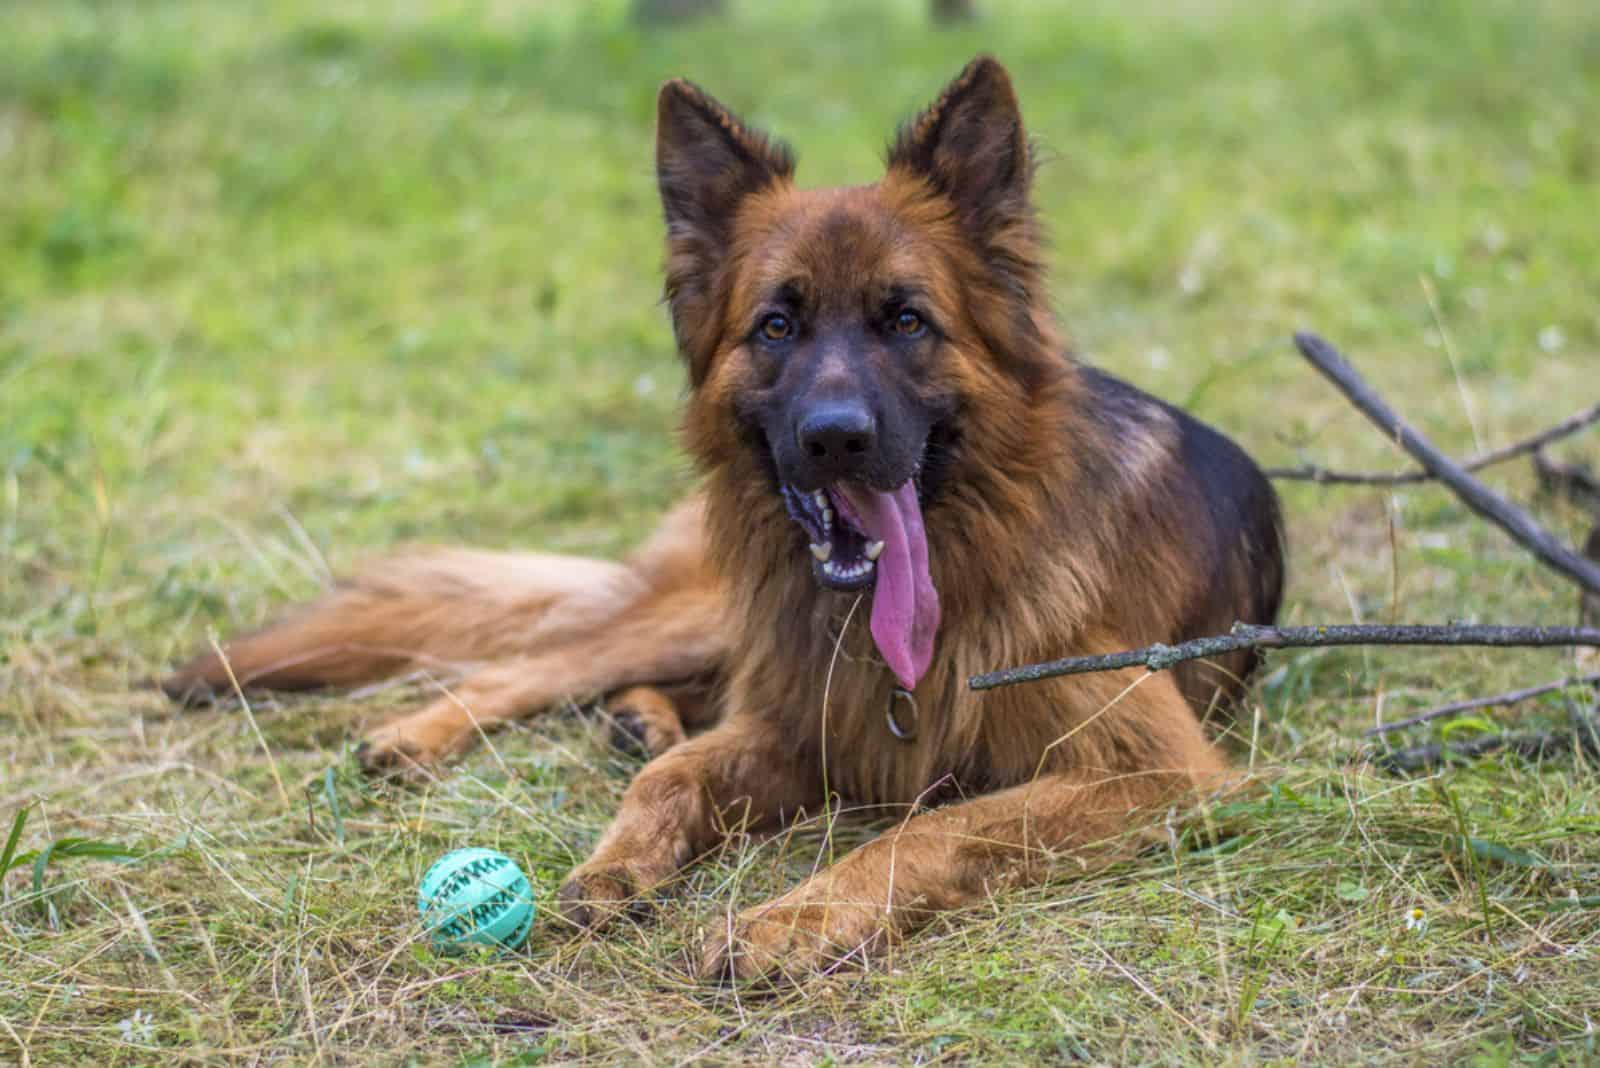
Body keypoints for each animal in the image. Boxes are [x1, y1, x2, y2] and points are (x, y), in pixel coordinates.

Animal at [165, 56, 1286, 978]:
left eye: (906, 321)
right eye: (775, 326)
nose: (834, 439)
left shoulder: (1157, 774)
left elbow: (928, 829)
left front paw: (794, 920)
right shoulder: (793, 720)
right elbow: (673, 779)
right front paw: (618, 861)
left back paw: (631, 715)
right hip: (703, 608)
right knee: (529, 664)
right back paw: (430, 732)